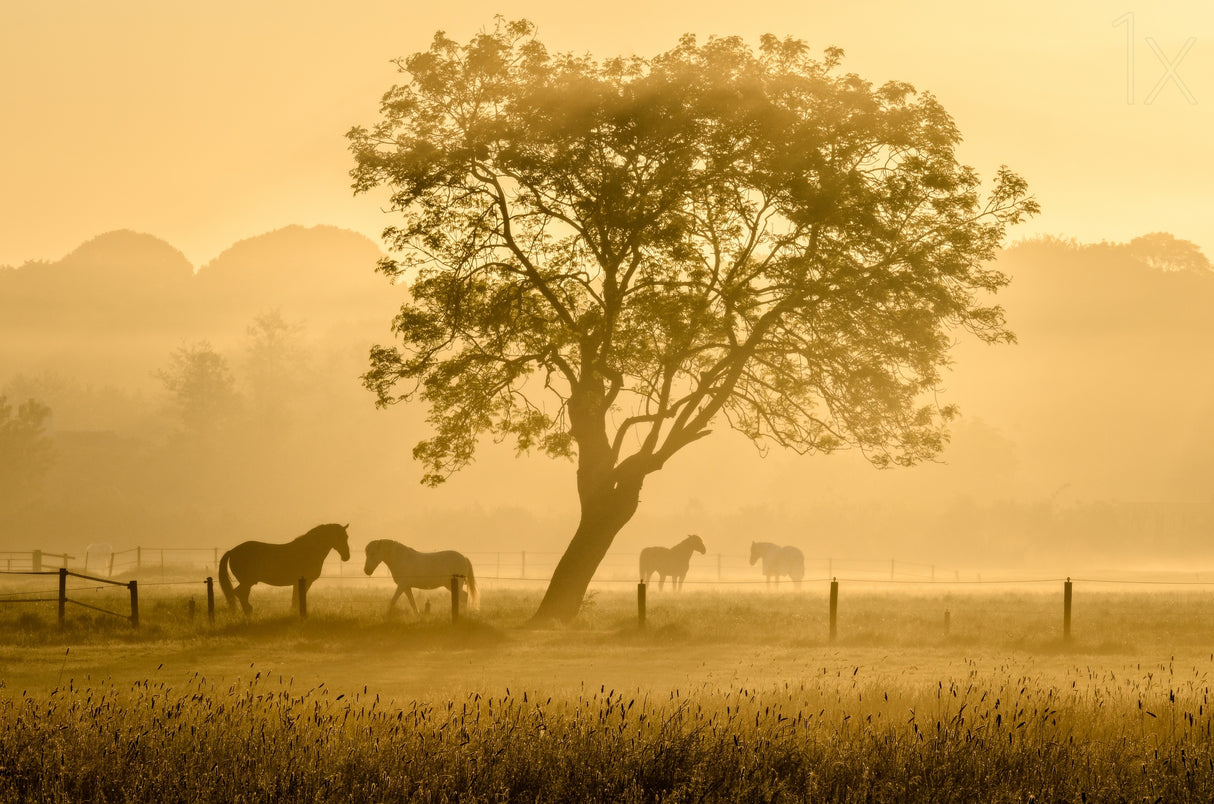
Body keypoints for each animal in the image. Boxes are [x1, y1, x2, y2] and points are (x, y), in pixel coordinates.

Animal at [218, 523, 350, 615]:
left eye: (346, 537)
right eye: (339, 537)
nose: (346, 556)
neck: (308, 550)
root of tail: (232, 551)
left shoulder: (298, 583)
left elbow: (295, 599)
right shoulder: (304, 582)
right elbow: (297, 599)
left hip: (247, 582)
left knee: (241, 594)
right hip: (247, 581)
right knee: (239, 593)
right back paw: (249, 612)